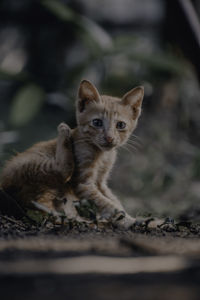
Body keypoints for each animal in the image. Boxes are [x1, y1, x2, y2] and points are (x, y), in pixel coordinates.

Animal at [0, 80, 143, 230]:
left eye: (120, 125)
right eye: (97, 122)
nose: (109, 138)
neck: (103, 154)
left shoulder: (101, 182)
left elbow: (113, 199)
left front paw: (132, 218)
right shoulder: (83, 183)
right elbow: (106, 203)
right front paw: (127, 220)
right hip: (33, 165)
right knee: (62, 171)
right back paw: (64, 132)